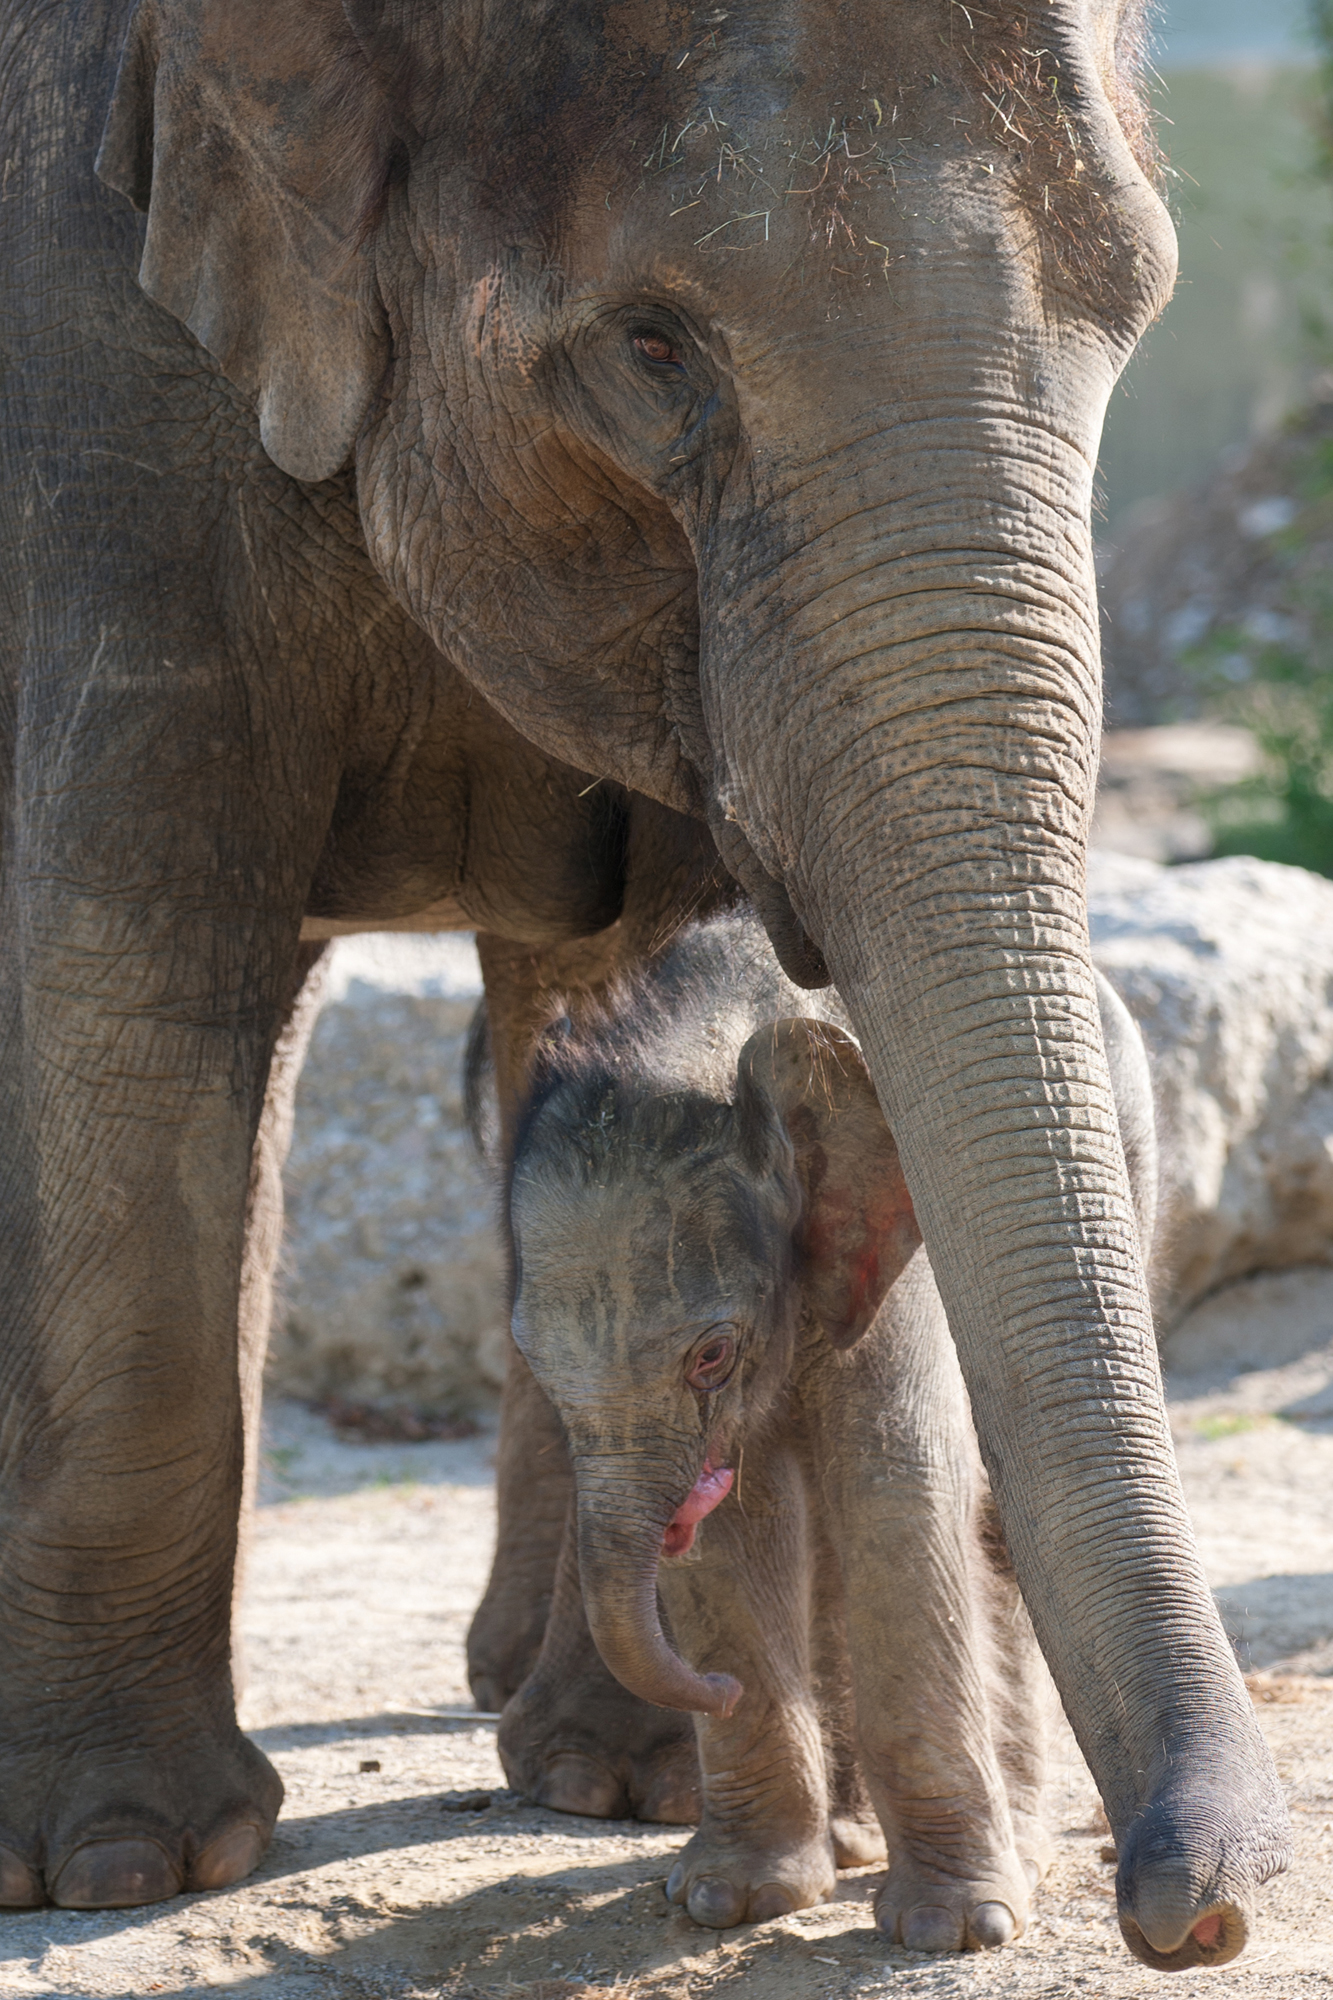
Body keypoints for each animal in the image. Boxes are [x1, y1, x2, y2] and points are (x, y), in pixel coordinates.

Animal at [498, 916, 1152, 1944]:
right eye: (530, 1356)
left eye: (712, 1354)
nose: (713, 1690)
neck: (700, 1046)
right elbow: (739, 1527)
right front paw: (726, 1901)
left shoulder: (894, 1251)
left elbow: (896, 1484)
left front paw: (951, 1930)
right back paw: (848, 1840)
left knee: (993, 1527)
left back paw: (1016, 1846)